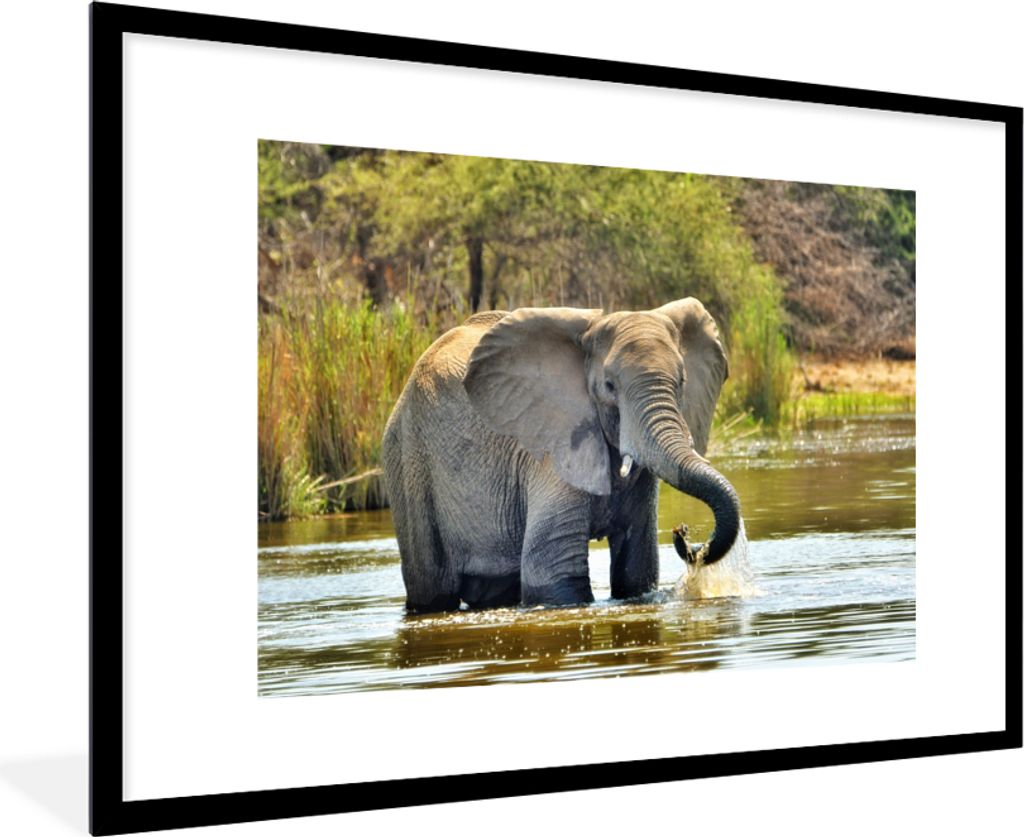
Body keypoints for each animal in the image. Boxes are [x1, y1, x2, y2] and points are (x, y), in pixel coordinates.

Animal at [381, 298, 741, 613]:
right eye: (609, 386)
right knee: (432, 590)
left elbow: (636, 569)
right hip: (408, 460)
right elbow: (552, 572)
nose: (683, 535)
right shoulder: (551, 449)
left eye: (681, 381)